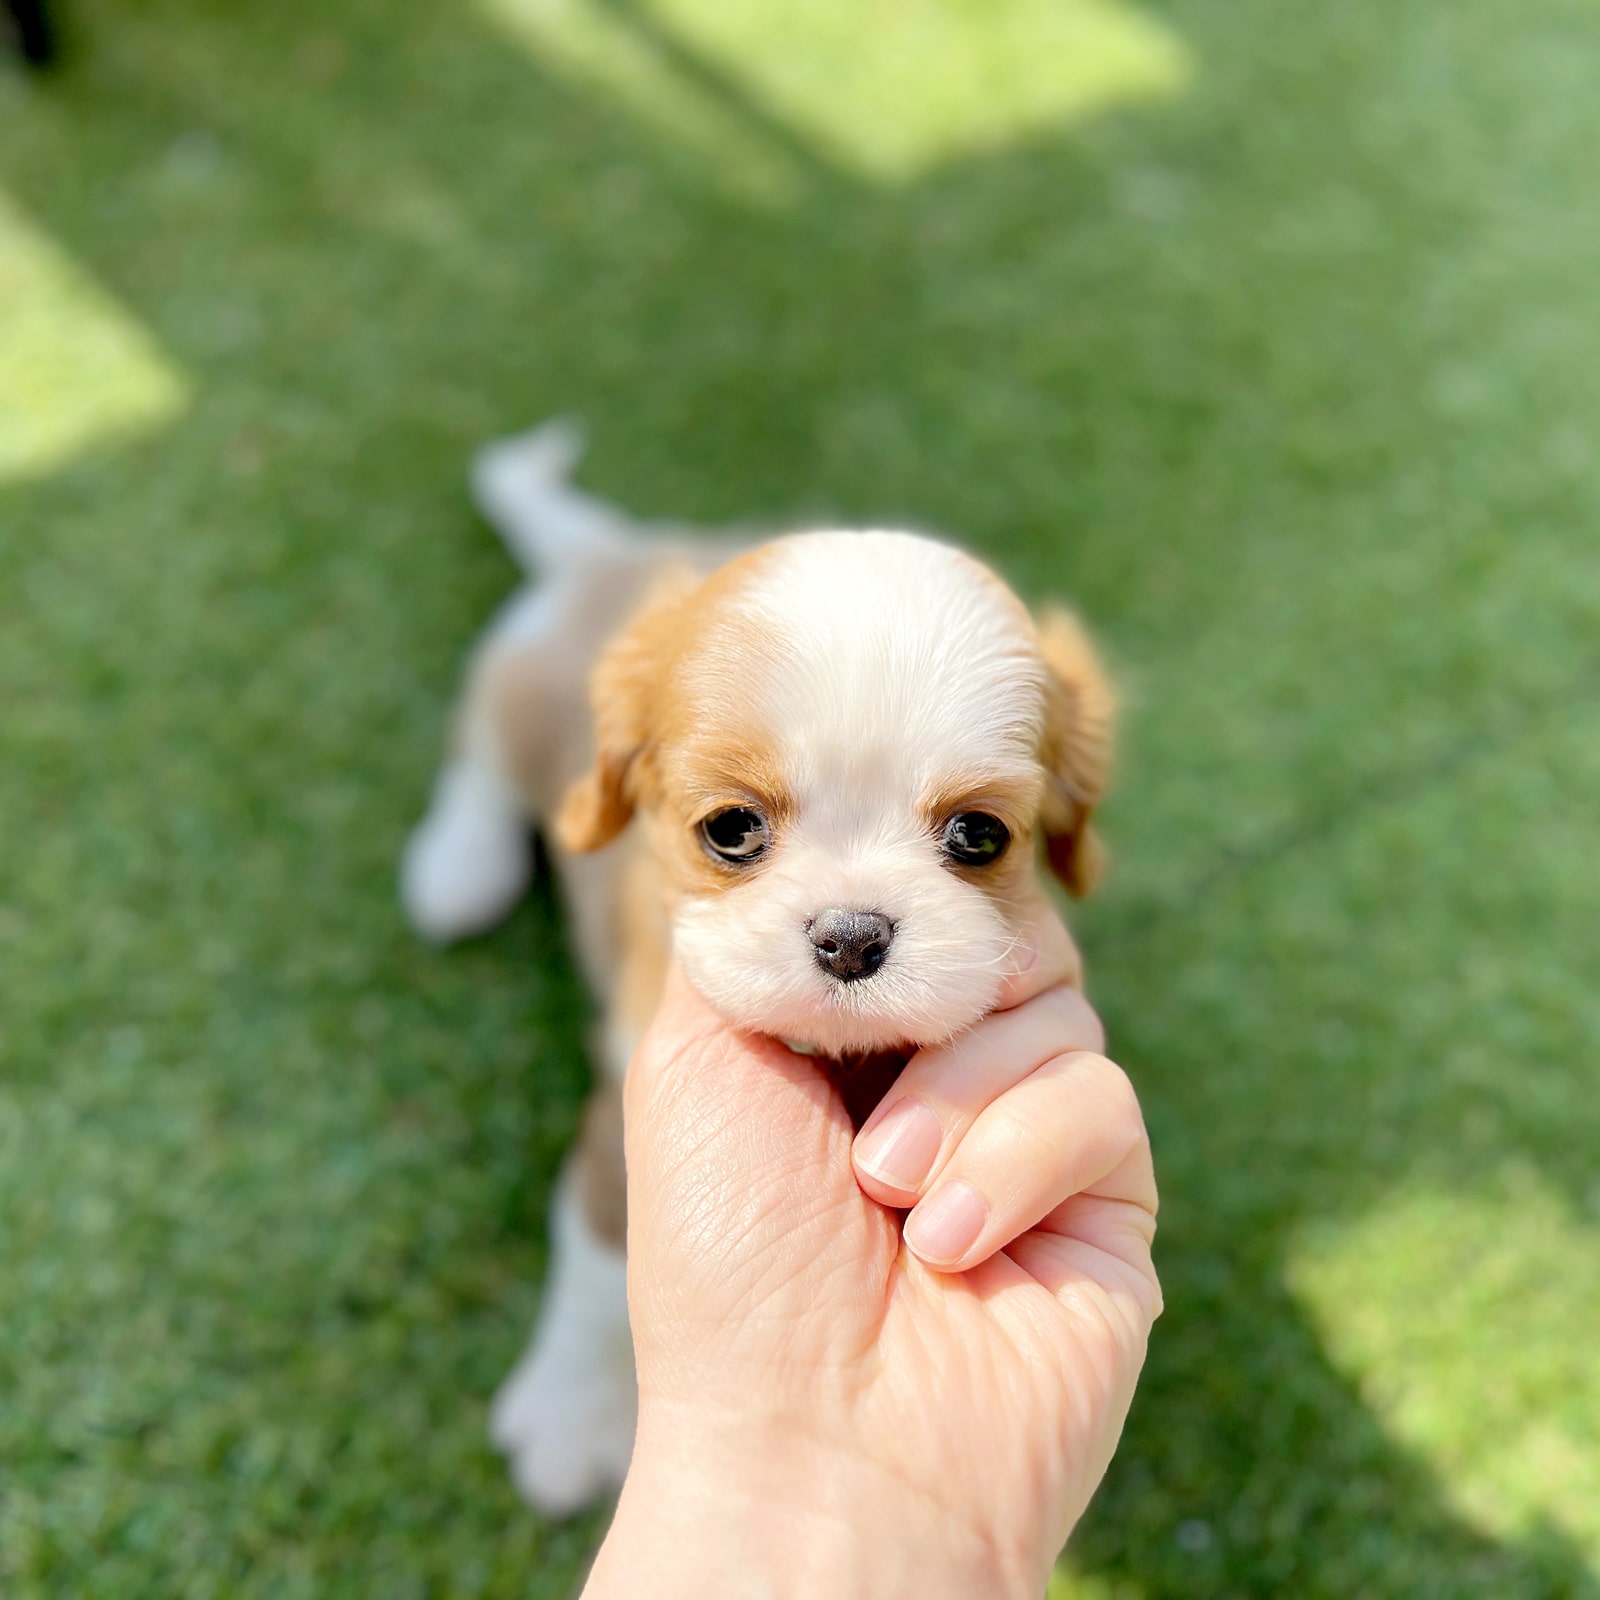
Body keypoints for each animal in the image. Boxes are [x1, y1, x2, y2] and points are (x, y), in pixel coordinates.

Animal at [403, 422, 1113, 1510]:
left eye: (980, 835)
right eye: (730, 828)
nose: (852, 936)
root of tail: (618, 549)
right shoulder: (620, 1114)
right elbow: (596, 1253)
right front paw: (572, 1410)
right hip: (524, 690)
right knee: (480, 743)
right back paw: (460, 862)